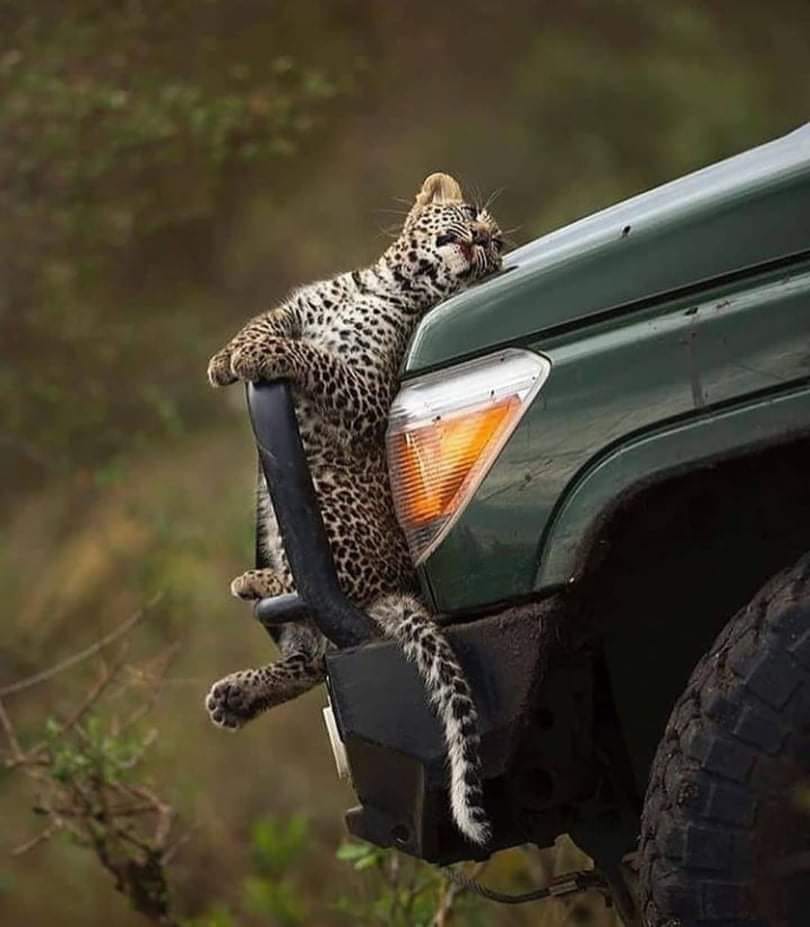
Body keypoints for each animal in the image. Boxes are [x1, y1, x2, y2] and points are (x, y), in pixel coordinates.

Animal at [204, 172, 504, 845]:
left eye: (495, 244)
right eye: (471, 214)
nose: (480, 239)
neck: (387, 284)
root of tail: (398, 584)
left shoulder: (365, 393)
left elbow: (315, 360)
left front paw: (257, 360)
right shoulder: (298, 307)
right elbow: (263, 322)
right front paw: (226, 359)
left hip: (329, 499)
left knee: (326, 607)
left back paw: (257, 586)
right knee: (312, 657)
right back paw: (235, 693)